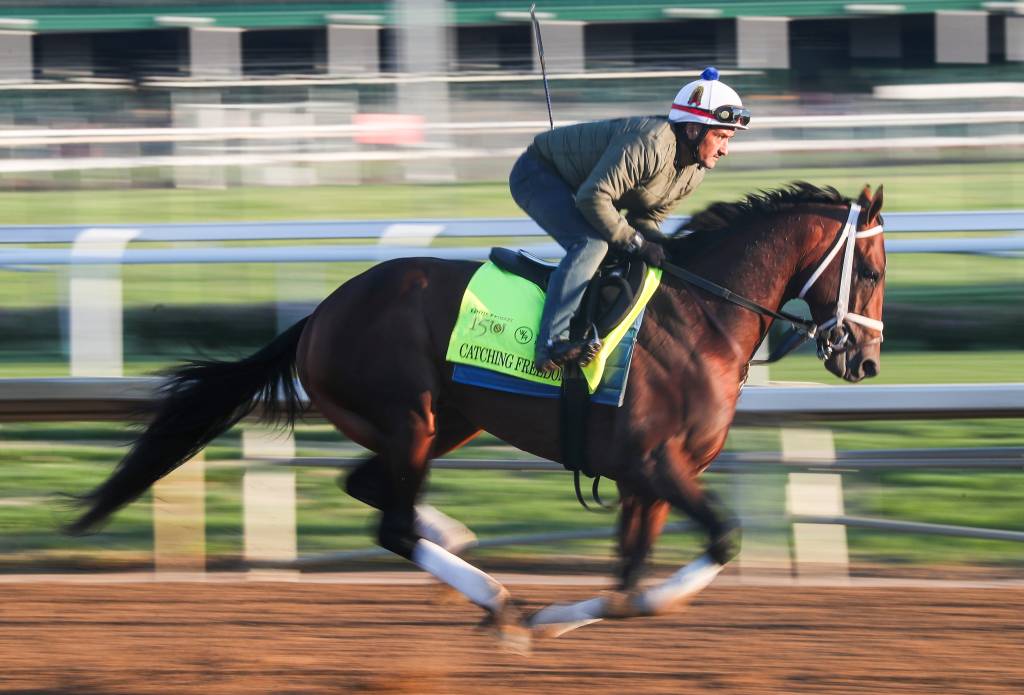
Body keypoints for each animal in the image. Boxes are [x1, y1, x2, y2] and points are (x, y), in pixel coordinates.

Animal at [66, 182, 888, 650]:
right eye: (873, 269)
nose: (865, 362)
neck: (701, 316)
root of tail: (320, 314)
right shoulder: (656, 463)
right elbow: (716, 540)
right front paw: (548, 618)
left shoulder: (644, 478)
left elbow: (629, 578)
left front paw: (572, 615)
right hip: (411, 414)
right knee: (391, 522)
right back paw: (490, 593)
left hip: (445, 420)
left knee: (372, 490)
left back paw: (461, 547)